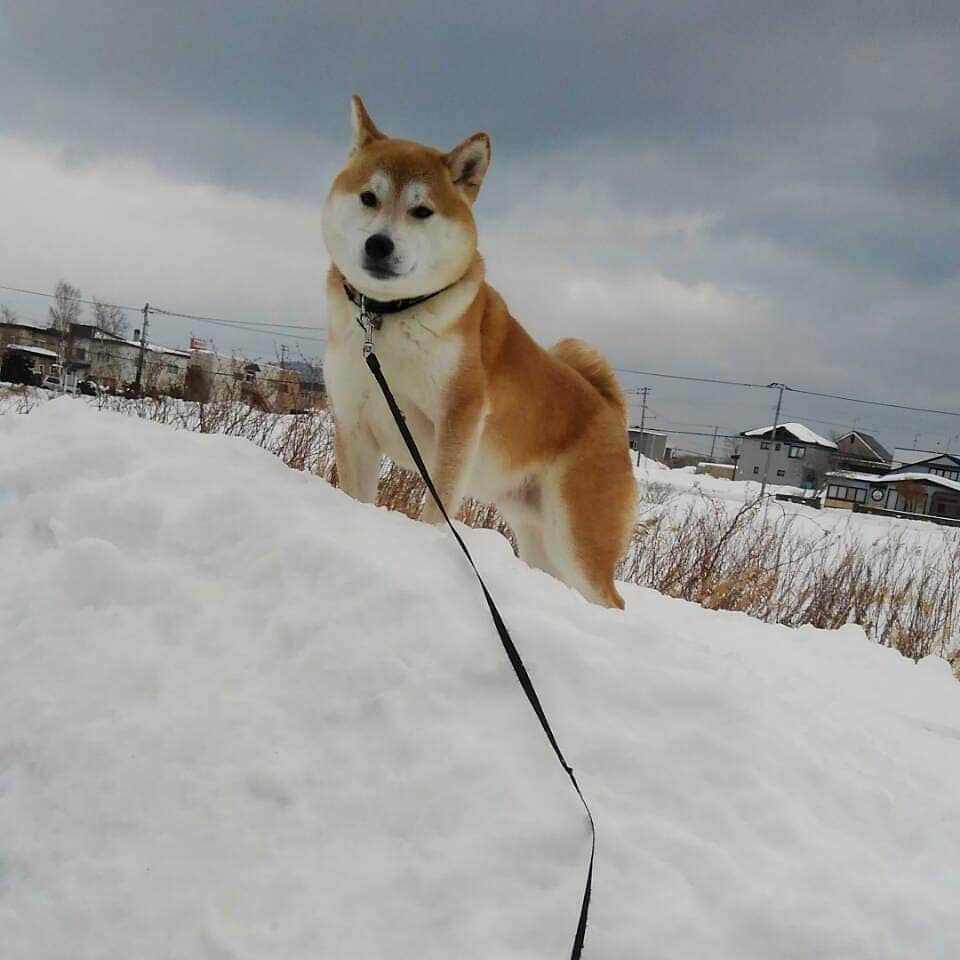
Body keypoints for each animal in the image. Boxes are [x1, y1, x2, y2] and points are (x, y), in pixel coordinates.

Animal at [322, 97, 636, 608]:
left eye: (422, 211)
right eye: (369, 197)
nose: (379, 244)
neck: (390, 316)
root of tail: (611, 413)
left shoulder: (460, 417)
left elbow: (439, 507)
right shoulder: (353, 422)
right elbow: (355, 495)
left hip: (577, 536)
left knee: (611, 599)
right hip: (537, 535)